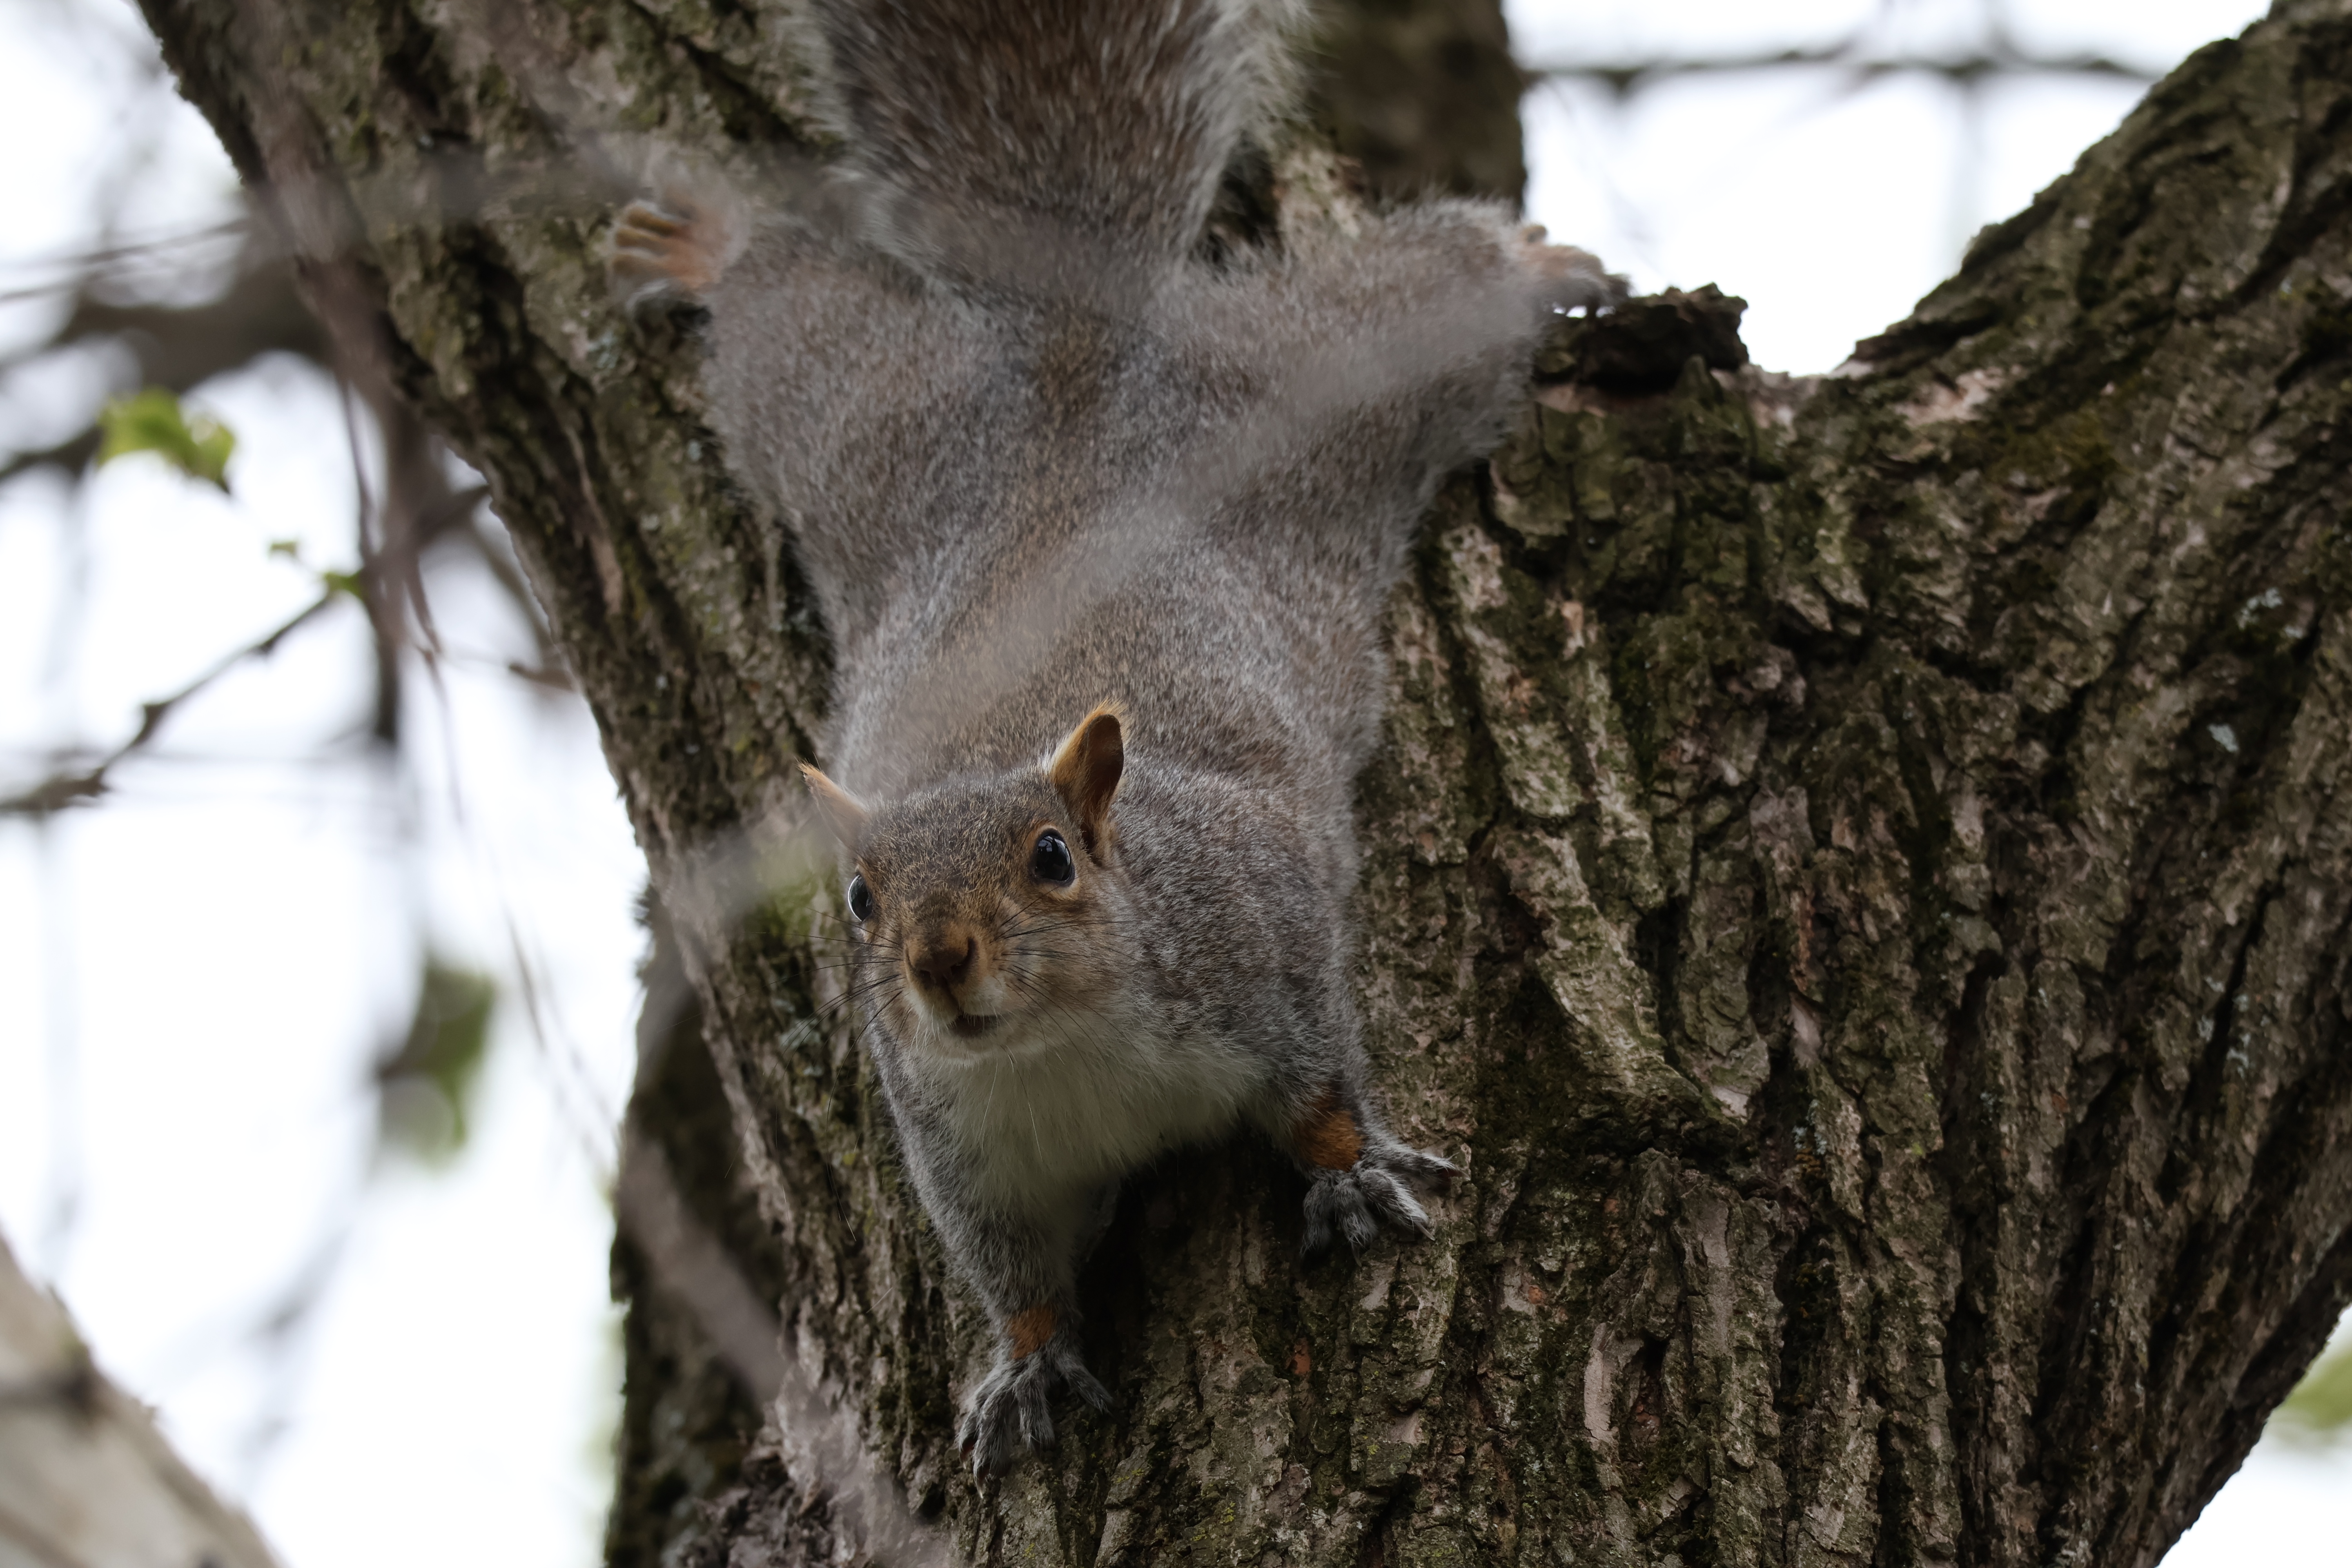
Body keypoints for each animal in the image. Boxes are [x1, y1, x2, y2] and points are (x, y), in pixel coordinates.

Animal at [610, 0, 1624, 1478]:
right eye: (857, 900)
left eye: (1052, 857)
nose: (939, 960)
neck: (1060, 1050)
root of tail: (1070, 353)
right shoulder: (956, 1153)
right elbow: (1012, 1272)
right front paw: (1025, 1368)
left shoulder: (1260, 933)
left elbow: (1318, 1072)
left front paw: (1350, 1173)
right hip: (857, 428)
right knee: (785, 309)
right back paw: (705, 249)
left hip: (1321, 388)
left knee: (1426, 296)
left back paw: (1536, 264)